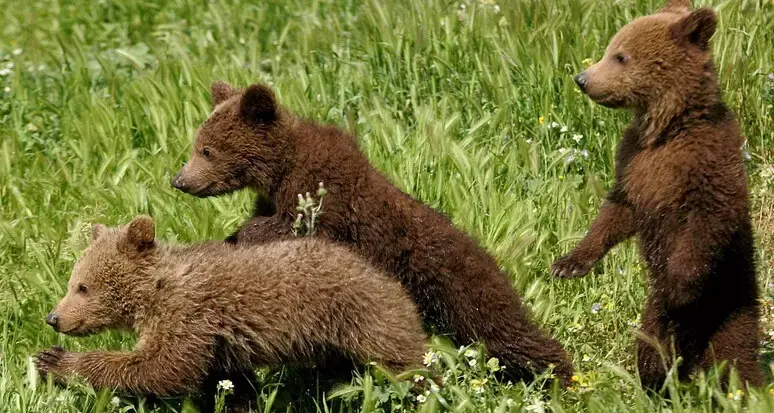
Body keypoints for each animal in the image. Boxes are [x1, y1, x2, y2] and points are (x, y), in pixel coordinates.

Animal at [36, 216, 427, 413]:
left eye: (83, 287)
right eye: (72, 281)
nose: (54, 318)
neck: (154, 294)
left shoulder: (189, 317)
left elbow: (160, 367)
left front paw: (55, 361)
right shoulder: (219, 344)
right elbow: (234, 384)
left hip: (363, 317)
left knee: (405, 362)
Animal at [171, 82, 573, 384]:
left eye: (207, 150)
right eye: (197, 144)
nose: (179, 180)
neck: (280, 169)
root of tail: (494, 259)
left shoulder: (323, 192)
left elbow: (294, 228)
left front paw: (241, 237)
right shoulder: (273, 198)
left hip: (459, 285)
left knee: (505, 329)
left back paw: (559, 376)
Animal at [552, 0, 763, 389]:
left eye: (621, 56)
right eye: (611, 48)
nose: (583, 79)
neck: (667, 128)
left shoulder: (707, 164)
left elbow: (708, 222)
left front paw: (678, 290)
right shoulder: (634, 165)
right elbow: (616, 212)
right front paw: (568, 264)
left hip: (734, 300)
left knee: (735, 357)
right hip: (657, 322)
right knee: (652, 348)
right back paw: (656, 384)